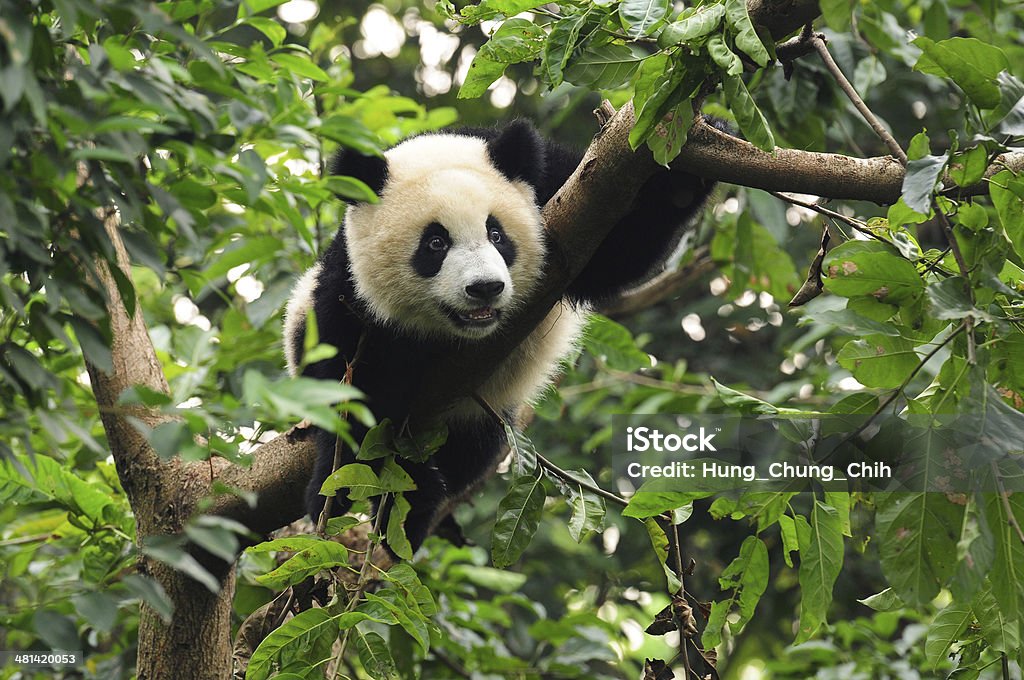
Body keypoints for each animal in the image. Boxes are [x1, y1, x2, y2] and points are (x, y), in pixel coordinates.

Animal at [280, 119, 712, 557]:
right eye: (435, 243)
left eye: (496, 234)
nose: (485, 288)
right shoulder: (349, 291)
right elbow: (351, 389)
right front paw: (340, 488)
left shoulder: (562, 190)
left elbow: (619, 251)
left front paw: (692, 156)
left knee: (470, 454)